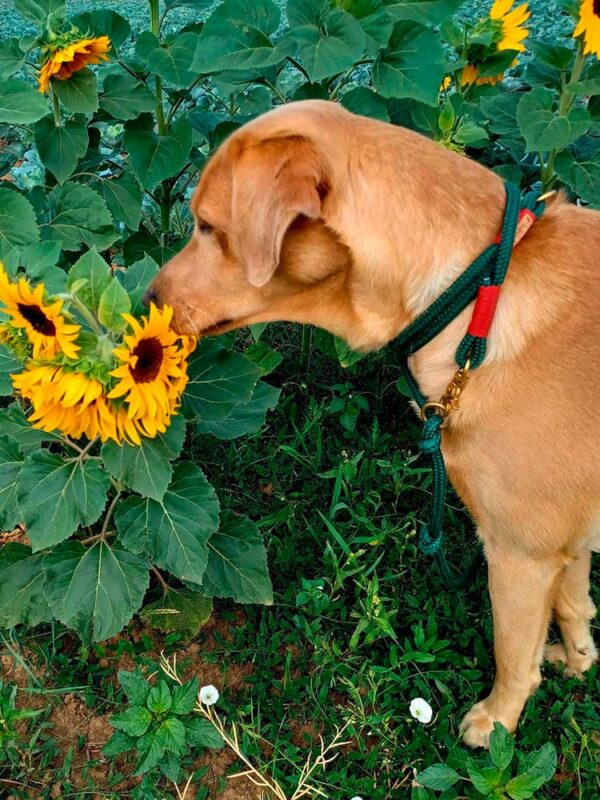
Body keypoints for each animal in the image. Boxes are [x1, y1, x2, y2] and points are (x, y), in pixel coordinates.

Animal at [146, 101, 600, 752]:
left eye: (207, 226)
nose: (146, 300)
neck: (476, 295)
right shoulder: (565, 542)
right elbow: (575, 606)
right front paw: (580, 660)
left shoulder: (521, 552)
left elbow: (515, 654)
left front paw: (498, 722)